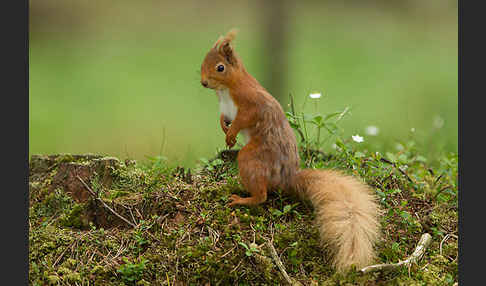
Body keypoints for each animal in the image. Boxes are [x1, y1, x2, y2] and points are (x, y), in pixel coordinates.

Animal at [199, 29, 382, 272]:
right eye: (203, 62)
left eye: (220, 68)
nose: (203, 82)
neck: (226, 89)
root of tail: (287, 178)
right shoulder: (226, 110)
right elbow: (223, 118)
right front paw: (224, 128)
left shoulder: (251, 104)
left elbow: (243, 119)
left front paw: (232, 134)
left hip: (251, 157)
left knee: (262, 196)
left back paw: (242, 199)